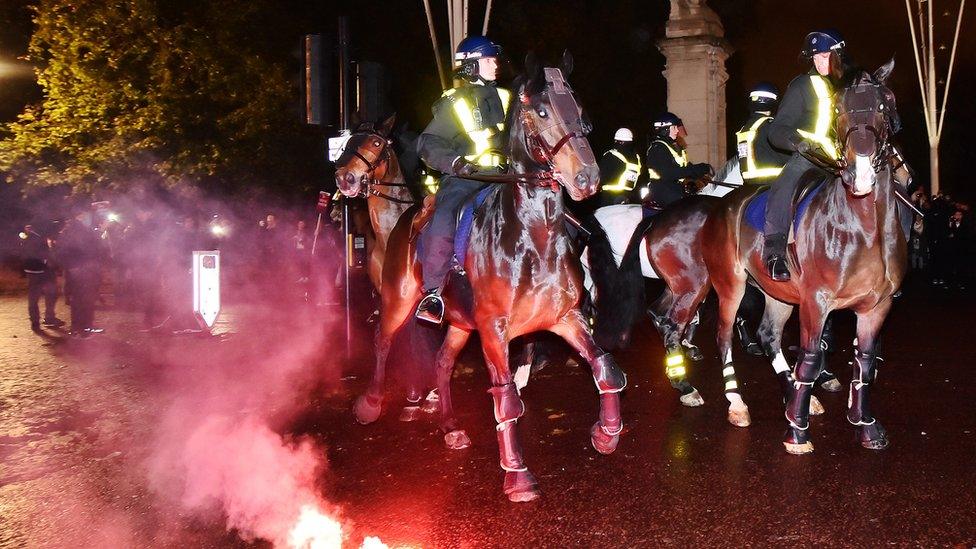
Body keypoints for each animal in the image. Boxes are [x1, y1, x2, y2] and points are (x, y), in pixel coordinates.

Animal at [350, 54, 624, 500]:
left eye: (579, 109)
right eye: (542, 111)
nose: (587, 179)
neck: (531, 237)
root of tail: (405, 222)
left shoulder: (564, 318)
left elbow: (605, 367)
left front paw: (606, 432)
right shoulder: (495, 331)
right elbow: (507, 399)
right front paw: (517, 475)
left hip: (461, 324)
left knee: (443, 362)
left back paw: (450, 426)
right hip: (397, 302)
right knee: (383, 342)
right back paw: (371, 404)